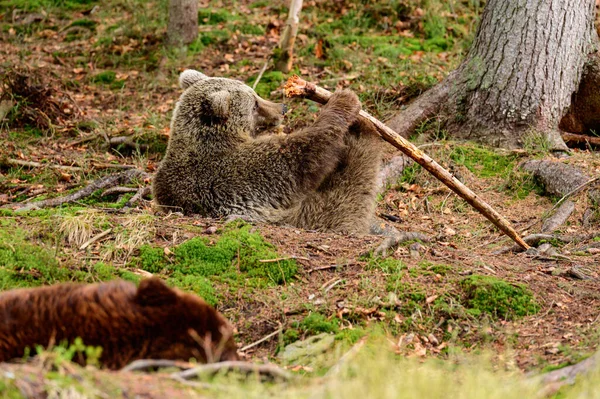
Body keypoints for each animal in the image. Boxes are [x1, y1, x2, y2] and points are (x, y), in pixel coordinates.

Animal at [152, 70, 382, 236]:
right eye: (254, 104)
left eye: (255, 93)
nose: (282, 108)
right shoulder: (235, 173)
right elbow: (301, 157)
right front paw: (344, 101)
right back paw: (363, 132)